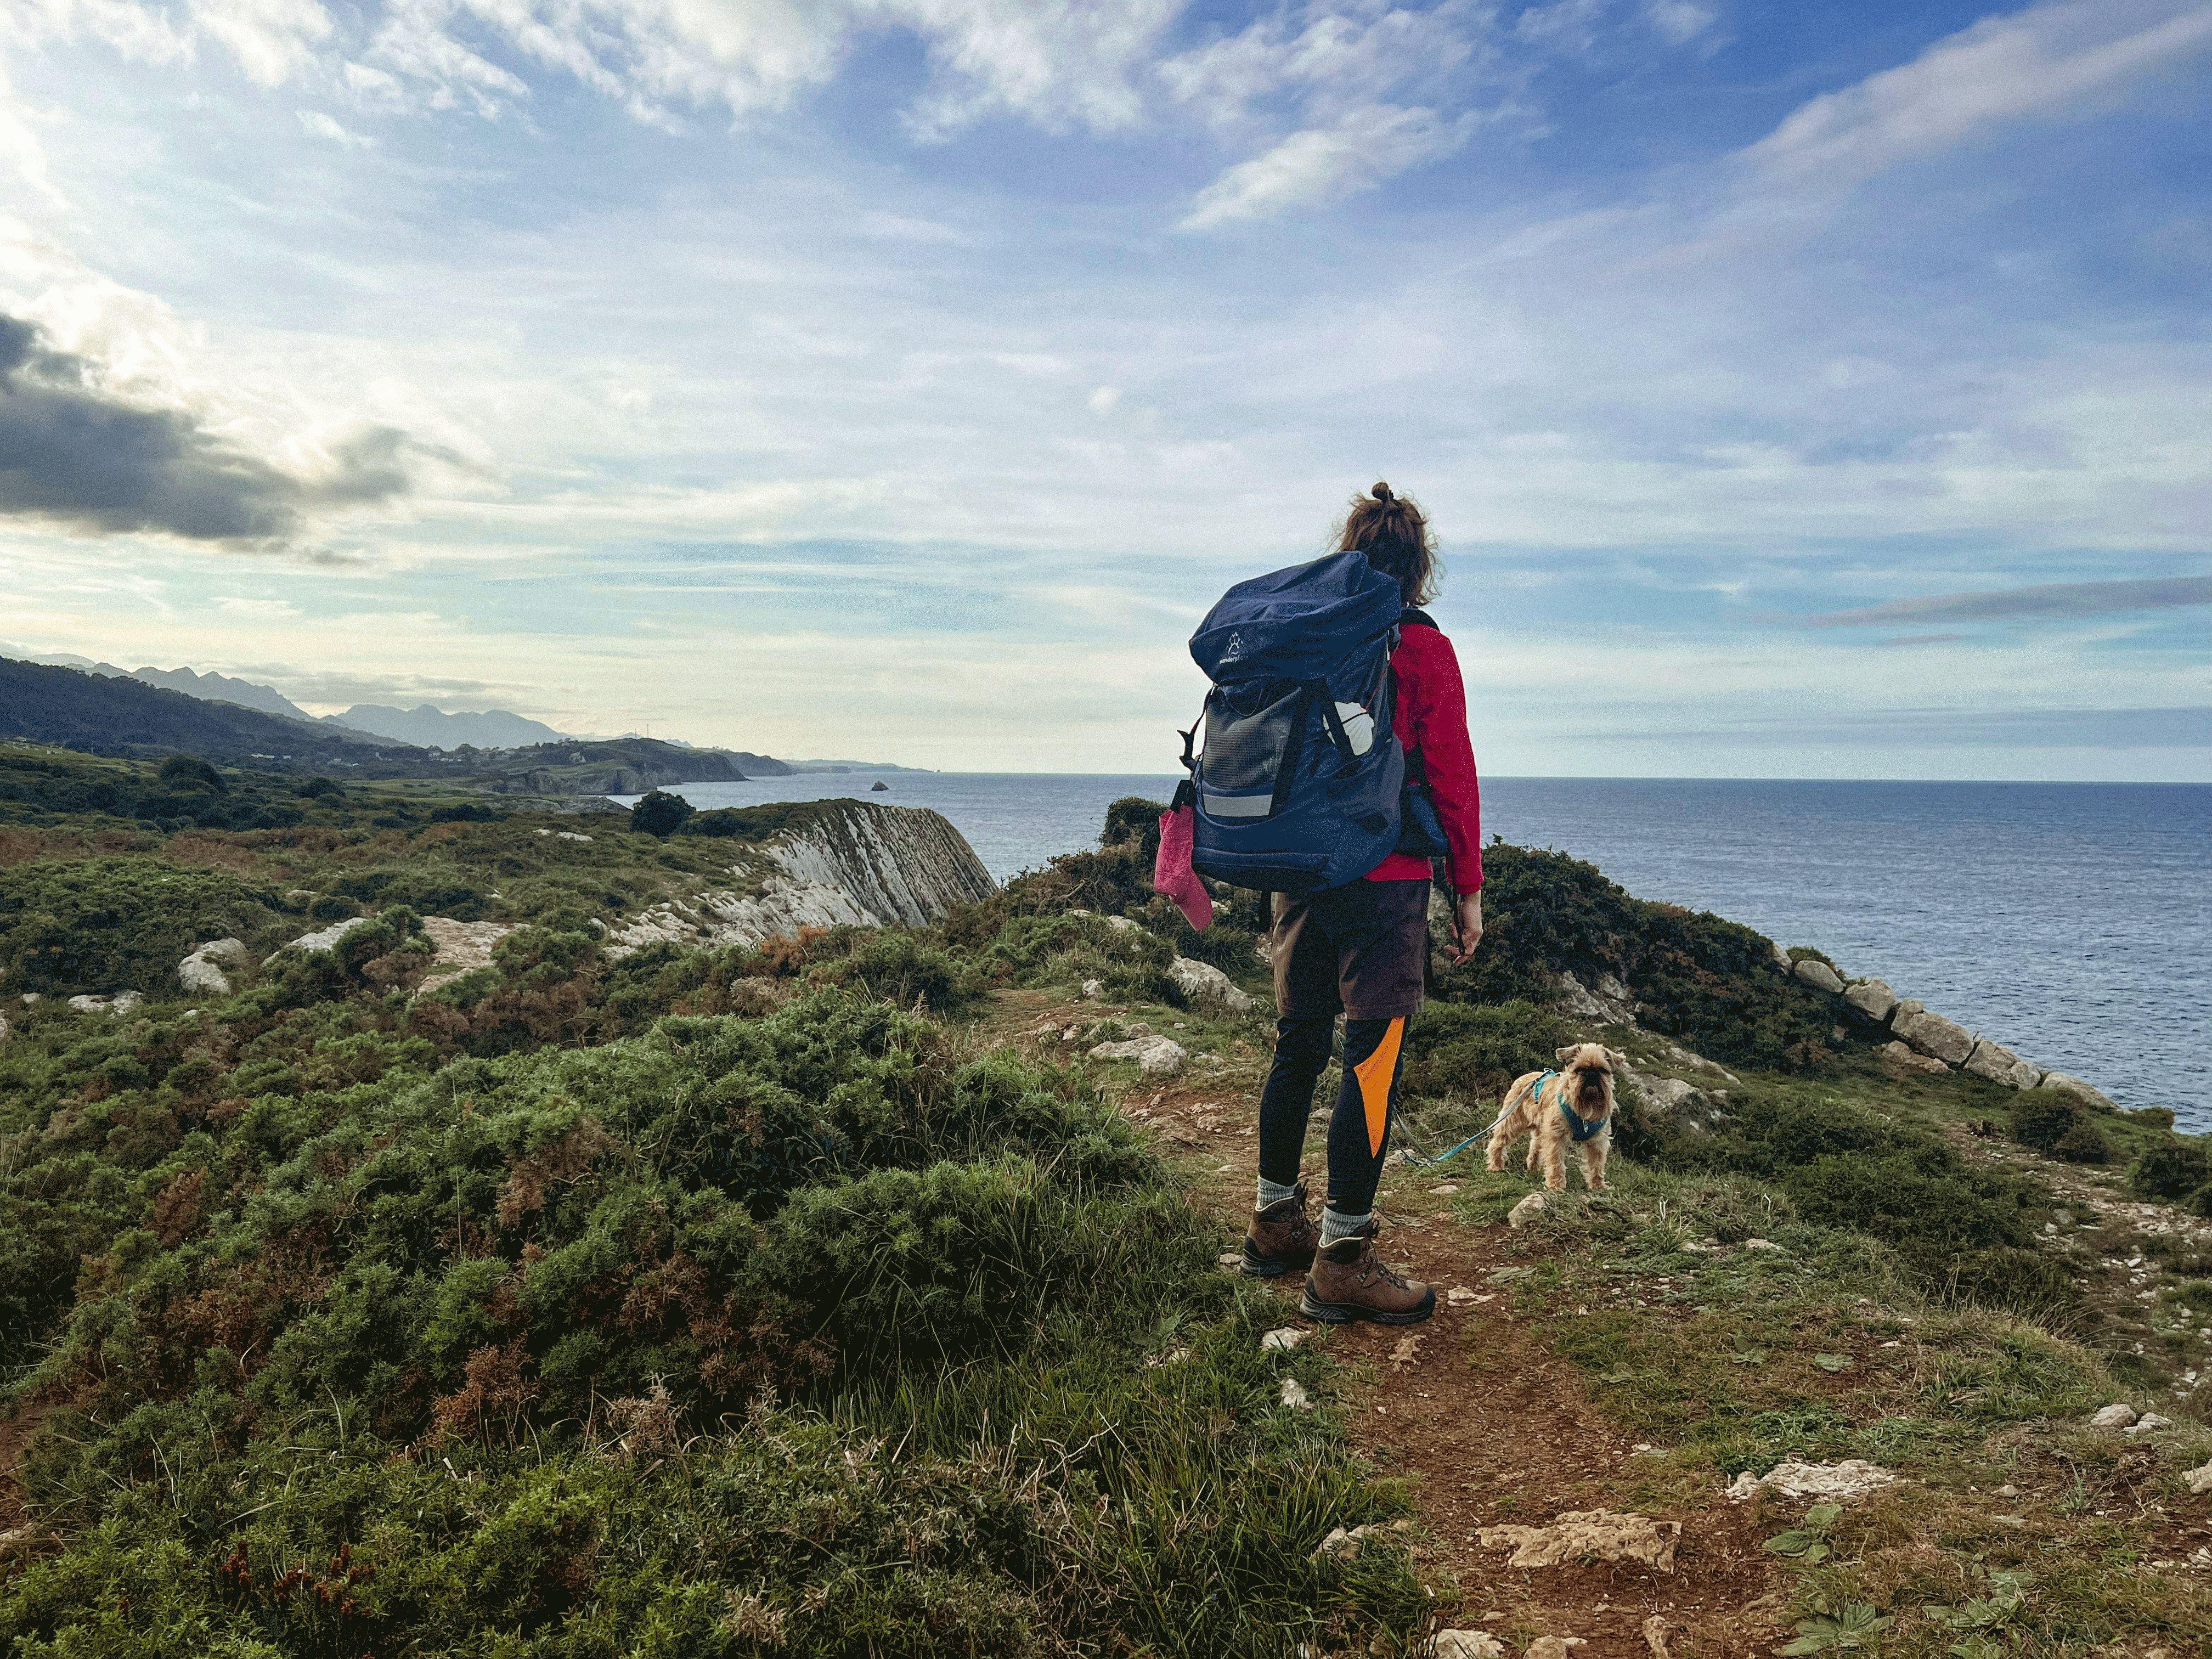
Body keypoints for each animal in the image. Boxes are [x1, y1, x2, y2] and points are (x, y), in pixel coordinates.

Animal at [1486, 1044, 1628, 1186]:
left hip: (1540, 1128)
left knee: (1535, 1147)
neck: (1586, 1107)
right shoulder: (1556, 1136)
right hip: (1512, 1121)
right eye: (1580, 1069)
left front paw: (1598, 1186)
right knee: (1498, 1142)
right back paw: (1496, 1165)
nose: (1591, 1075)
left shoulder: (1597, 1142)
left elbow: (1597, 1165)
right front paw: (1555, 1186)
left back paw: (1532, 1169)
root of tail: (1526, 1077)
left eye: (1602, 1070)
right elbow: (1556, 1163)